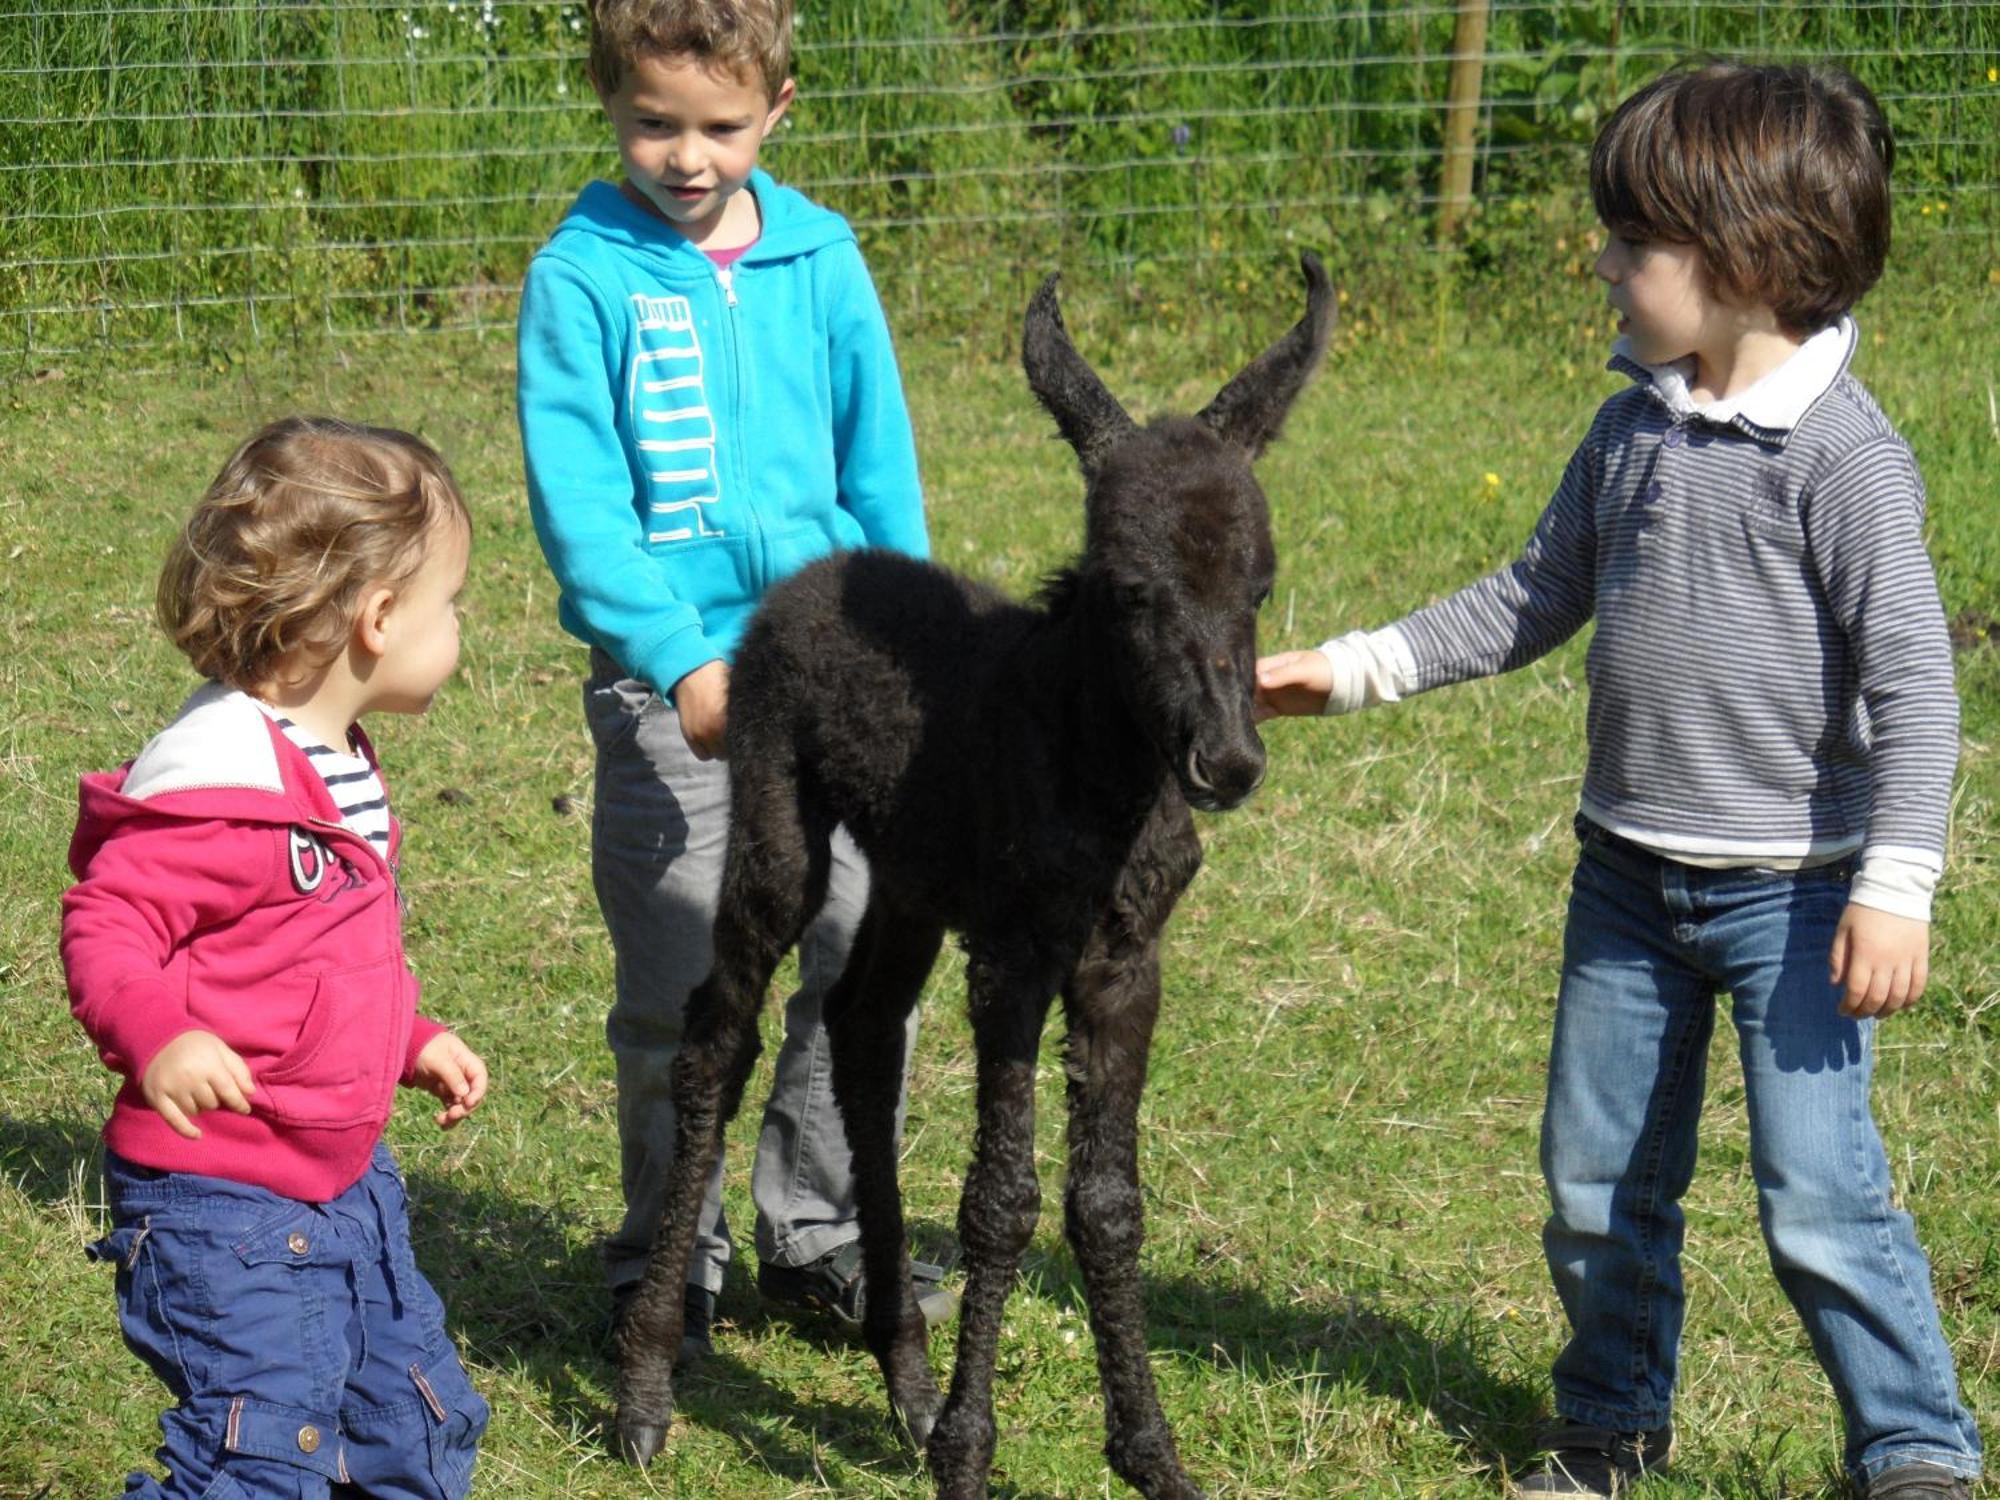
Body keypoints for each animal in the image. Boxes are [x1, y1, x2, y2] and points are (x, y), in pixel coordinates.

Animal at [608, 253, 1328, 1496]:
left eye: (1259, 585)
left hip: (907, 881)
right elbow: (1002, 1200)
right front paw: (969, 1451)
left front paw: (1146, 1452)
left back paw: (901, 1372)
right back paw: (649, 1387)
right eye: (1127, 588)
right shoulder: (1013, 958)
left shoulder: (1123, 966)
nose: (1228, 763)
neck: (1098, 767)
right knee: (715, 1043)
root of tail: (813, 572)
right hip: (779, 834)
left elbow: (1106, 1204)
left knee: (858, 1034)